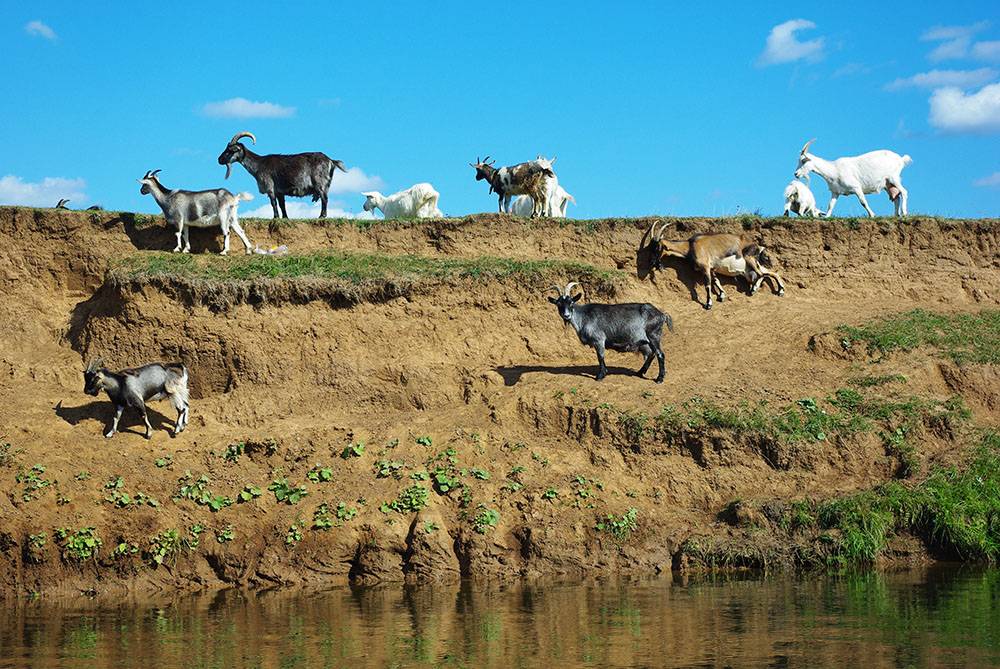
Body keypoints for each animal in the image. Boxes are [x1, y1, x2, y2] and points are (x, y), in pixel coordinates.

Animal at [216, 132, 348, 219]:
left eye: (231, 150)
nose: (219, 159)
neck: (259, 164)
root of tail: (331, 161)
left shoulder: (270, 187)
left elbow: (273, 203)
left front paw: (275, 217)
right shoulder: (280, 191)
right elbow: (282, 204)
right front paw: (285, 217)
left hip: (319, 182)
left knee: (324, 198)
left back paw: (322, 216)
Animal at [640, 222, 788, 310]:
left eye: (657, 247)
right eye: (650, 247)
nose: (651, 262)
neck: (690, 246)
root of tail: (759, 246)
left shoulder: (705, 267)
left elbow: (708, 285)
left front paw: (708, 304)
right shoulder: (712, 268)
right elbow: (716, 281)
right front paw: (722, 296)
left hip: (749, 260)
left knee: (762, 274)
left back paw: (758, 289)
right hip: (749, 268)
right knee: (771, 272)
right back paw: (776, 290)